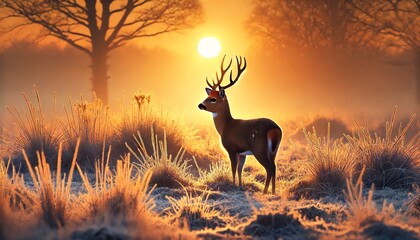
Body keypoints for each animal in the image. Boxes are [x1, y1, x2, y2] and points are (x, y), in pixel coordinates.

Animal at [198, 55, 282, 194]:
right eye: (208, 96)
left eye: (213, 99)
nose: (200, 105)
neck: (226, 126)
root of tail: (274, 129)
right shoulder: (242, 153)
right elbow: (239, 169)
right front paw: (240, 186)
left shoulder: (231, 147)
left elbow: (233, 168)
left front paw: (233, 185)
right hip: (274, 150)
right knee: (274, 166)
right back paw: (273, 192)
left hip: (259, 148)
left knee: (270, 168)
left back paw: (265, 192)